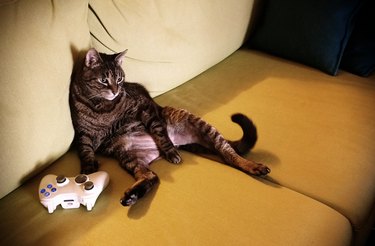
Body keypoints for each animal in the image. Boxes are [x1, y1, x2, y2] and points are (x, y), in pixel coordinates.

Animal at [70, 48, 270, 206]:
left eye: (119, 79)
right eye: (104, 80)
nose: (115, 90)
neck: (103, 108)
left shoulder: (145, 107)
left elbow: (159, 132)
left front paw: (170, 151)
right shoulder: (82, 133)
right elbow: (85, 150)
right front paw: (88, 170)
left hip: (198, 124)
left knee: (229, 154)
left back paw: (252, 166)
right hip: (129, 156)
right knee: (151, 176)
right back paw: (131, 197)